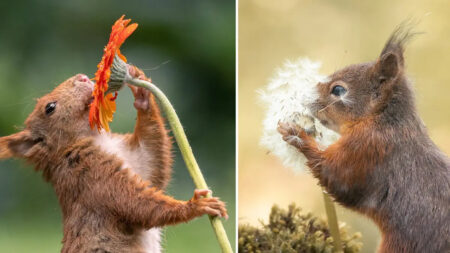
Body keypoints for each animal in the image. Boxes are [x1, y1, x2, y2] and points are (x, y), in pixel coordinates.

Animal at [0, 65, 227, 253]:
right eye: (49, 108)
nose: (82, 77)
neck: (96, 138)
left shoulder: (136, 159)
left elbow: (152, 162)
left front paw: (142, 93)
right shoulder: (91, 176)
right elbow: (135, 203)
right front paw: (196, 204)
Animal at [278, 24, 450, 252]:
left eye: (338, 89)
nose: (305, 96)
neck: (383, 121)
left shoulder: (366, 150)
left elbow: (335, 175)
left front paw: (296, 134)